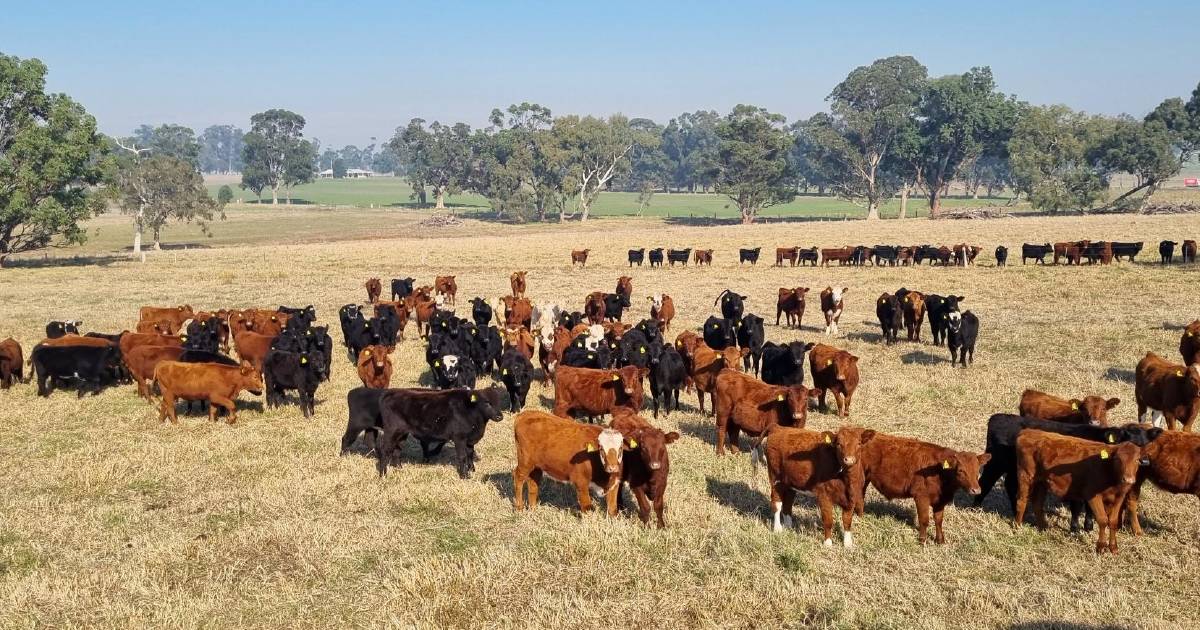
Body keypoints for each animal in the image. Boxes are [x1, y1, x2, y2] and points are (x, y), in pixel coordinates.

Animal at [376, 384, 504, 477]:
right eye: (487, 403)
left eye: (499, 402)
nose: (499, 417)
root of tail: (392, 392)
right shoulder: (459, 437)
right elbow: (462, 456)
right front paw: (464, 475)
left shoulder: (470, 439)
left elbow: (470, 454)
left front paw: (472, 469)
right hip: (391, 431)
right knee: (384, 450)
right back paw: (383, 474)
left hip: (402, 433)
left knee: (397, 450)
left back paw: (399, 468)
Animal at [864, 429, 993, 542]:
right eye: (961, 470)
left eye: (978, 470)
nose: (976, 490)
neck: (940, 472)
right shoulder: (921, 497)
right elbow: (924, 519)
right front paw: (922, 540)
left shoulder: (940, 501)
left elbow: (939, 520)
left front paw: (940, 540)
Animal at [974, 412, 1161, 530]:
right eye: (1130, 441)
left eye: (1147, 444)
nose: (1144, 462)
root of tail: (998, 417)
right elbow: (1078, 505)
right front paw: (1077, 527)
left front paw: (1088, 526)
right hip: (996, 464)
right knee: (986, 481)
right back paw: (976, 507)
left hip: (1014, 468)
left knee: (1010, 485)